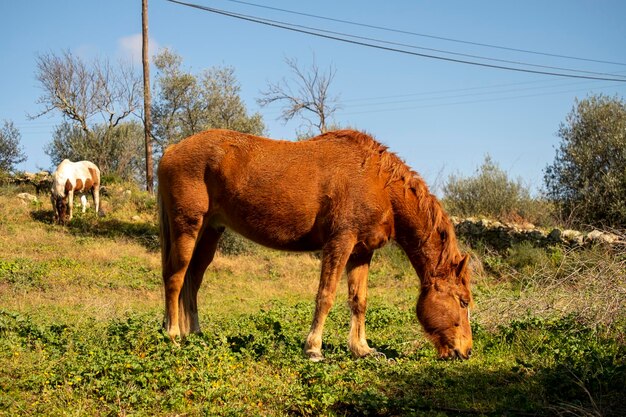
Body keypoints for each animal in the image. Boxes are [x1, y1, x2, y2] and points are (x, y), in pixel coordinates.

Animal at [158, 128, 470, 360]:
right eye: (464, 301)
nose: (466, 351)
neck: (378, 183)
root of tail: (170, 150)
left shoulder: (361, 252)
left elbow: (358, 300)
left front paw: (362, 349)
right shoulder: (340, 242)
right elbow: (326, 295)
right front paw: (314, 349)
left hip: (210, 231)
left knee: (193, 280)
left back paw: (195, 334)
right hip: (187, 227)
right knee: (175, 278)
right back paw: (173, 335)